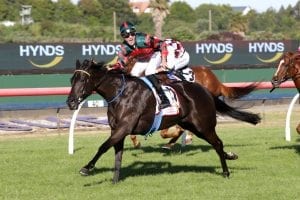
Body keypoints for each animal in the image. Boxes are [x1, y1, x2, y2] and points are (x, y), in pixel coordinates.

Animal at [66, 59, 260, 183]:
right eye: (72, 79)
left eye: (83, 79)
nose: (71, 102)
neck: (120, 94)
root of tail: (205, 89)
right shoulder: (117, 130)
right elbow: (117, 155)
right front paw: (115, 180)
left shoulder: (124, 127)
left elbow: (103, 146)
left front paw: (87, 168)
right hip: (191, 124)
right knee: (215, 143)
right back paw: (230, 156)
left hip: (203, 125)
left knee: (217, 143)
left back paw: (226, 172)